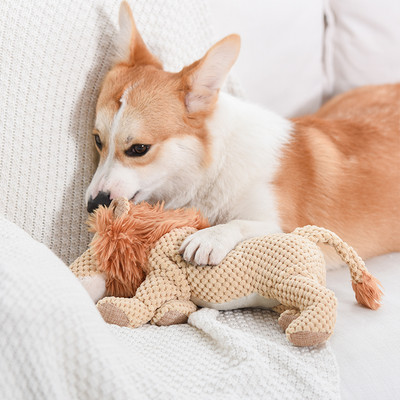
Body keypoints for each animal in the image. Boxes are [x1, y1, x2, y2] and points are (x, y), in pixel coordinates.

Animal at [86, 0, 400, 272]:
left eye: (139, 148)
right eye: (98, 141)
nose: (92, 205)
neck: (215, 166)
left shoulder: (287, 226)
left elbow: (242, 224)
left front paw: (210, 237)